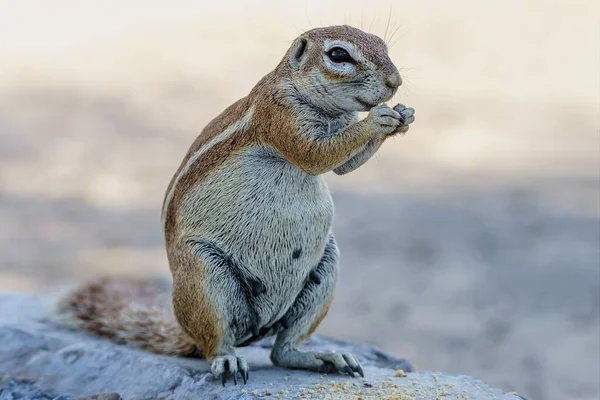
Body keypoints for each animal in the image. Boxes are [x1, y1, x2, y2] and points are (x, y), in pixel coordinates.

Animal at [52, 24, 412, 384]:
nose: (395, 81)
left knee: (282, 350)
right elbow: (316, 154)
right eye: (338, 54)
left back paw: (324, 357)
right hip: (206, 277)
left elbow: (345, 166)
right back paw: (228, 361)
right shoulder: (279, 114)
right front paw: (378, 119)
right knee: (216, 343)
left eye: (381, 44)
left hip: (325, 270)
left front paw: (404, 116)